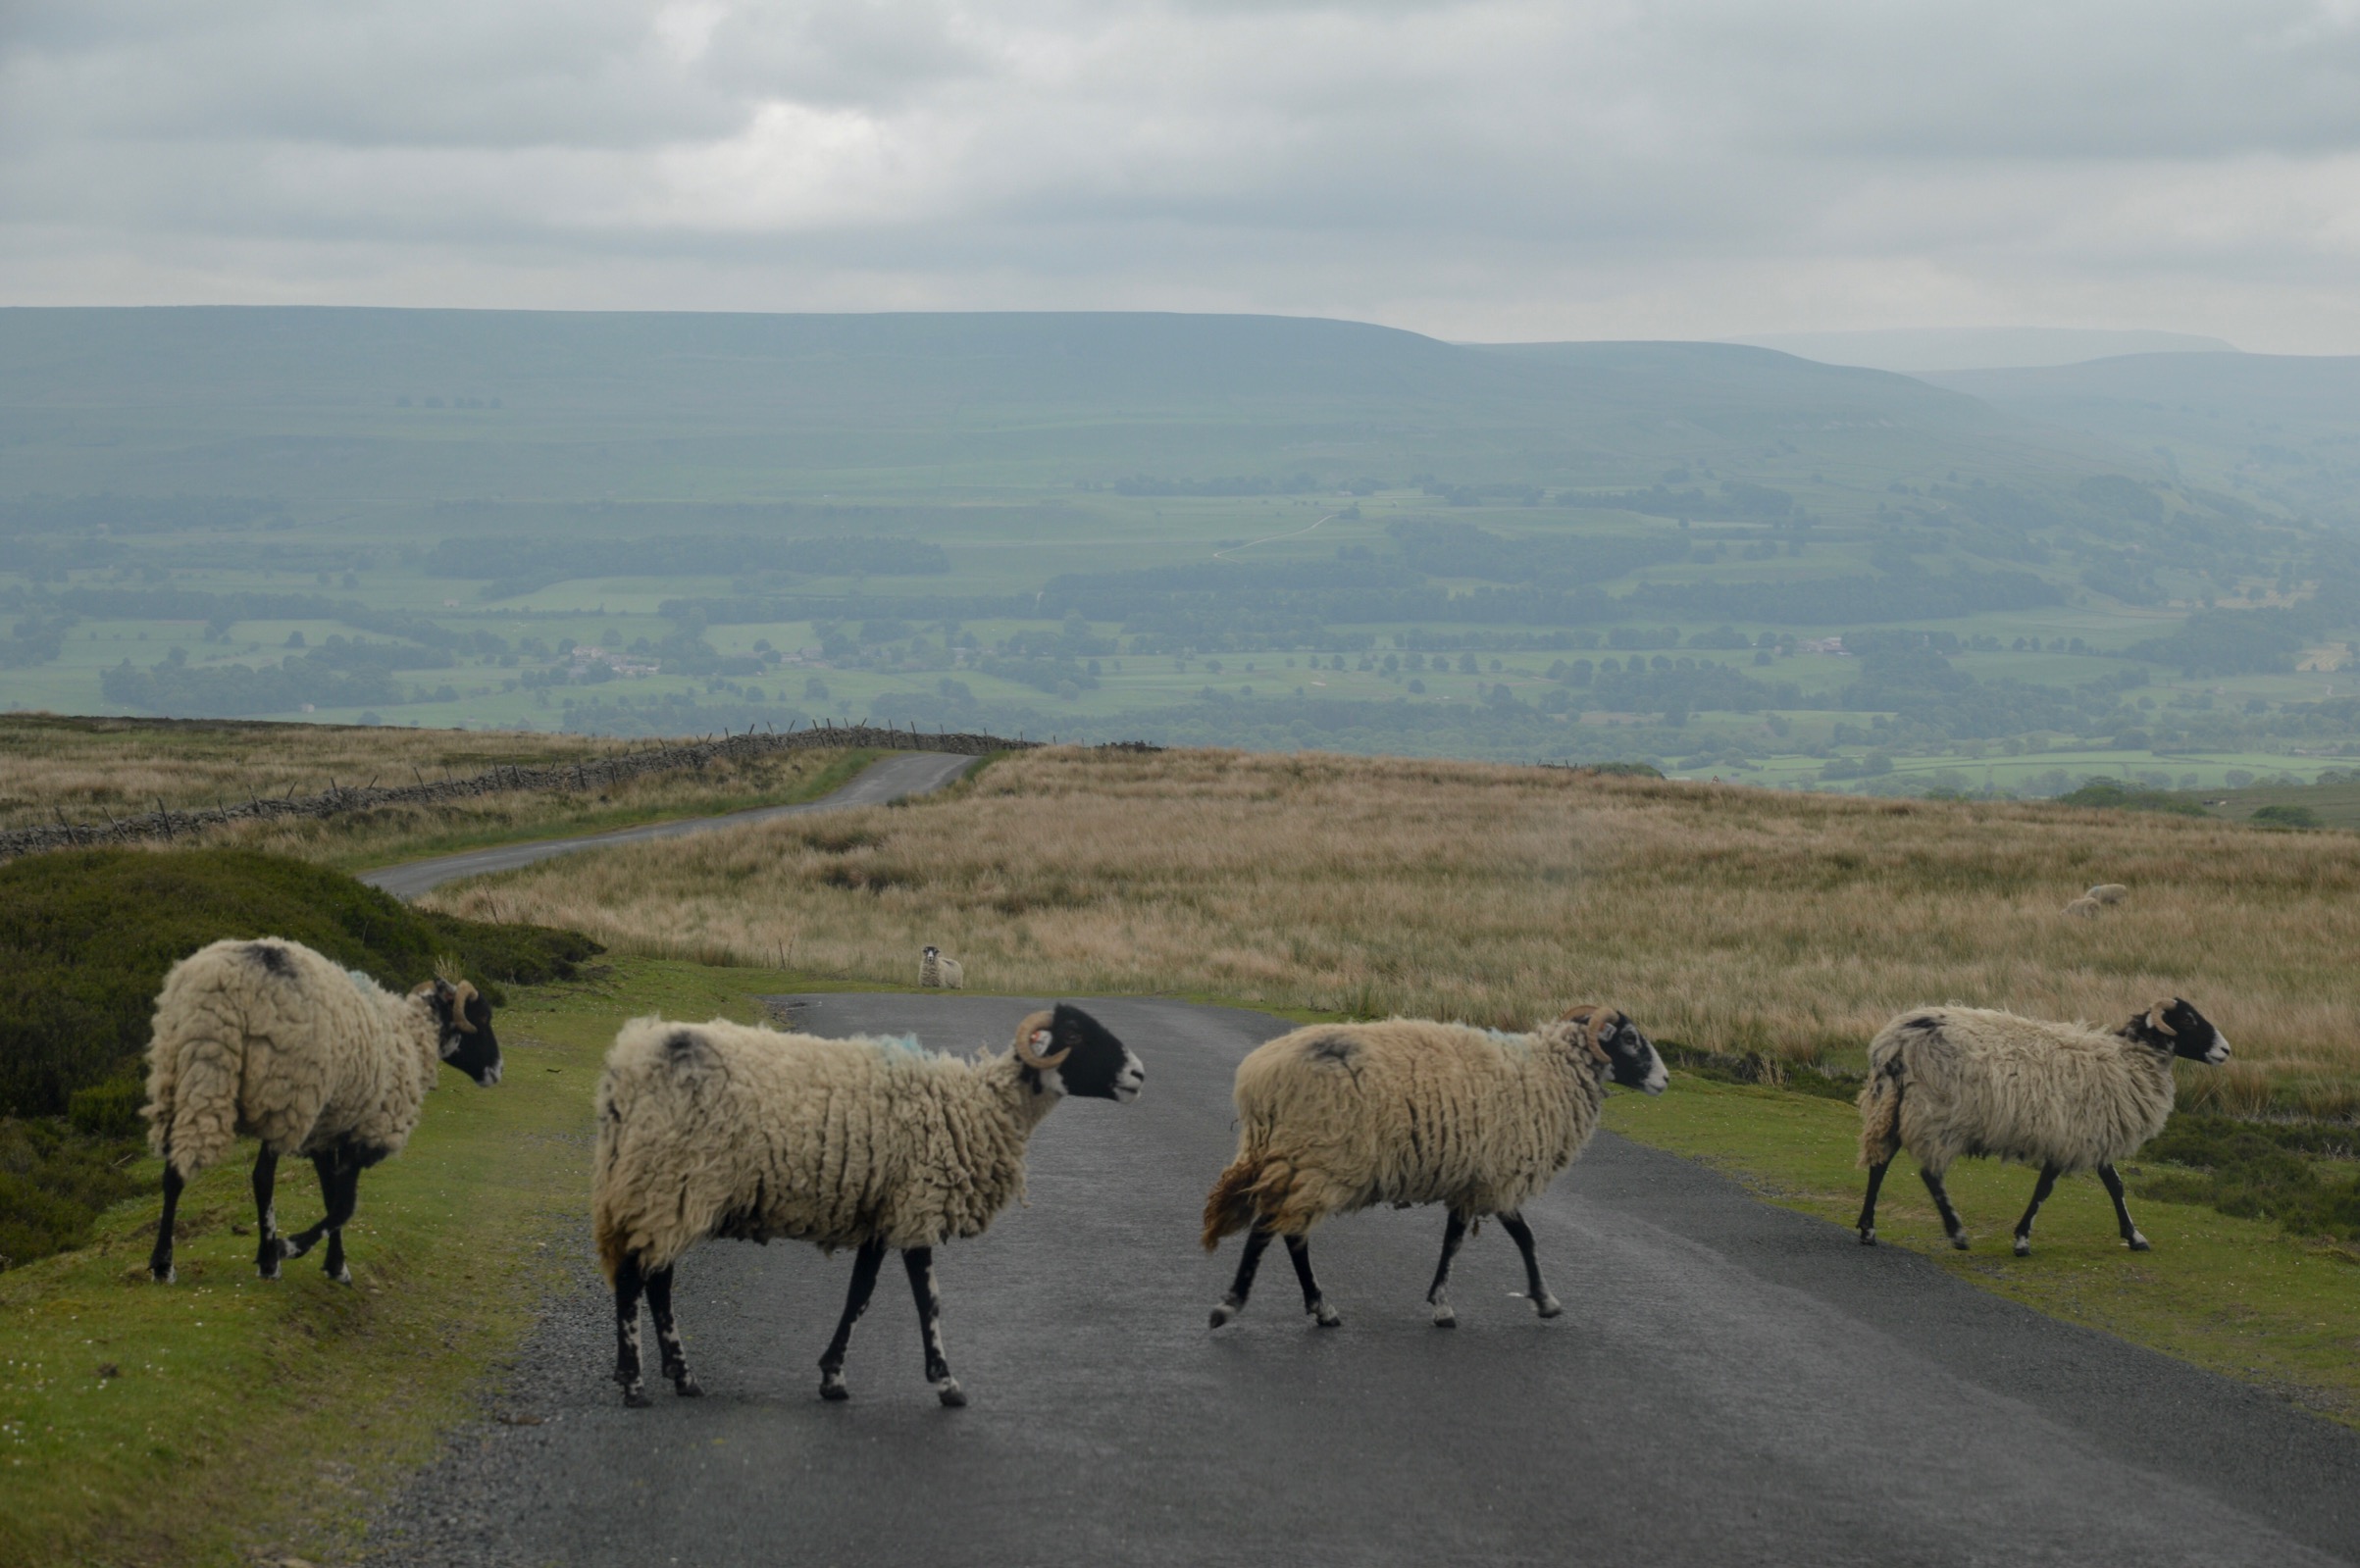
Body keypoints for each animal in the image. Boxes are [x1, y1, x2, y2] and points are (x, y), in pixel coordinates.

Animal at [140, 942, 500, 1283]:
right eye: (482, 1017)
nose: (498, 1070)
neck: (413, 1035)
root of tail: (217, 995)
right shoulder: (366, 1130)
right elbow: (343, 1205)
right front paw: (291, 1248)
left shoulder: (326, 1132)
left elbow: (331, 1196)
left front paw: (335, 1265)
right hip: (283, 1094)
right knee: (262, 1177)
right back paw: (269, 1260)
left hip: (184, 1080)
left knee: (174, 1173)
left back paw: (163, 1264)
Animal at [590, 1004, 1142, 1405]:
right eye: (1076, 1036)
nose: (1139, 1073)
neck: (977, 1106)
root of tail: (630, 1062)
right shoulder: (919, 1201)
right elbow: (927, 1300)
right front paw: (947, 1383)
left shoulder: (883, 1212)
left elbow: (859, 1294)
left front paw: (832, 1376)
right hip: (669, 1180)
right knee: (637, 1277)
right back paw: (635, 1383)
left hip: (668, 1190)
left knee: (657, 1279)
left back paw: (682, 1377)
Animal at [1207, 1009, 1670, 1330]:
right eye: (1631, 1038)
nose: (1665, 1080)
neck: (1549, 1072)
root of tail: (1257, 1078)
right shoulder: (1498, 1174)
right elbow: (1524, 1238)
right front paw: (1544, 1301)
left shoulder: (1472, 1177)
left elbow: (1453, 1242)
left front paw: (1442, 1304)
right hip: (1317, 1159)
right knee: (1273, 1230)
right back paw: (1237, 1305)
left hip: (1299, 1161)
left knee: (1287, 1232)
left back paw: (1317, 1308)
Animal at [1859, 994, 2228, 1254]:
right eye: (2189, 1019)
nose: (2226, 1050)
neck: (2126, 1061)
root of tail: (1896, 1040)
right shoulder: (2069, 1135)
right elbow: (2045, 1189)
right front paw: (2022, 1240)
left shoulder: (2088, 1134)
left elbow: (2115, 1185)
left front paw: (2134, 1236)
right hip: (1937, 1114)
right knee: (1930, 1174)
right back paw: (1957, 1233)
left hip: (1893, 1103)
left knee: (1880, 1162)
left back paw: (1867, 1229)